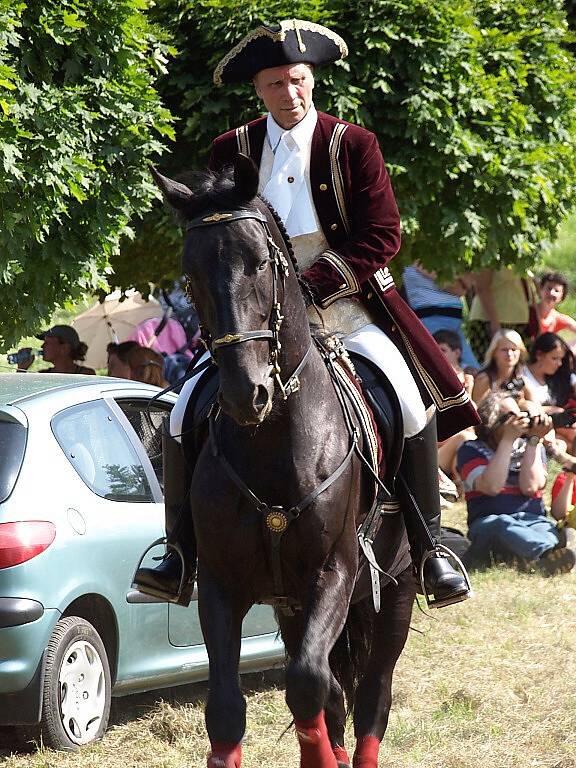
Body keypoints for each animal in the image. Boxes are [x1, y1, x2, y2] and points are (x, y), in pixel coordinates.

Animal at [152, 158, 414, 768]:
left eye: (259, 261)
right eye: (190, 274)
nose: (246, 393)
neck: (273, 443)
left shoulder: (335, 573)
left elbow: (307, 684)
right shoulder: (222, 585)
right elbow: (229, 707)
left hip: (395, 590)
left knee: (373, 692)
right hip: (290, 607)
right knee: (336, 690)